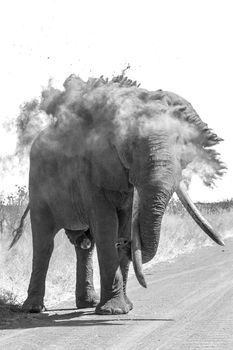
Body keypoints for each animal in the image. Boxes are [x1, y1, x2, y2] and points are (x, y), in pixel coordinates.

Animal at [11, 76, 225, 314]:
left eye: (182, 144)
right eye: (130, 144)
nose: (126, 244)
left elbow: (124, 221)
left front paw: (125, 306)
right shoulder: (91, 169)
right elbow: (106, 225)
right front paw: (113, 311)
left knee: (84, 246)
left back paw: (88, 303)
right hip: (38, 184)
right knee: (44, 242)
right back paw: (33, 308)